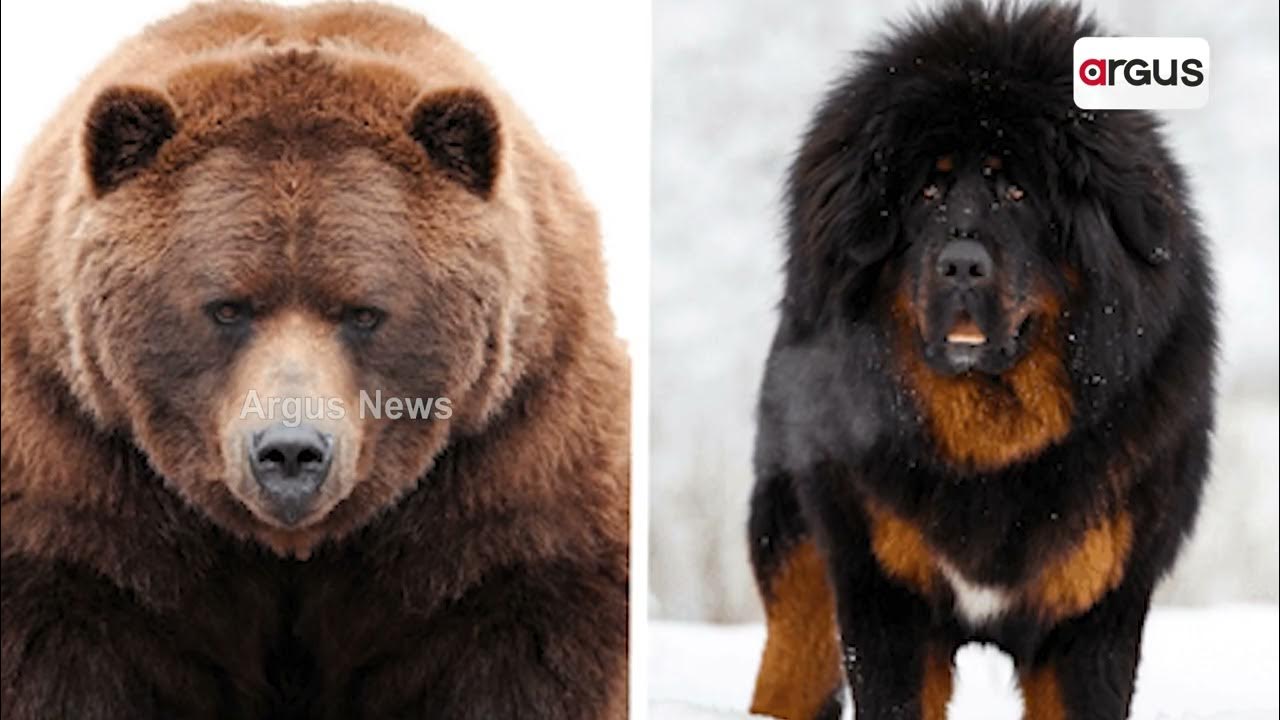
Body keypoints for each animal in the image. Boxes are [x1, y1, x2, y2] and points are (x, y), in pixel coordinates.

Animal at [0, 3, 629, 719]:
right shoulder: (74, 473)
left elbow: (521, 650)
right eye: (227, 307)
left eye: (364, 311)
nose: (292, 452)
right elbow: (64, 650)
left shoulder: (512, 468)